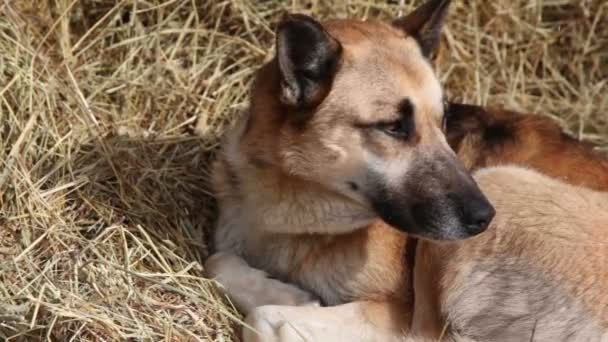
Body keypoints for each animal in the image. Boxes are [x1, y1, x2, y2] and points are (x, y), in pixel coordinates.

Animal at [204, 0, 608, 340]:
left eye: (442, 120)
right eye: (394, 127)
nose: (485, 218)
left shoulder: (392, 311)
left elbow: (267, 317)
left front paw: (293, 297)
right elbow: (217, 260)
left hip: (496, 186)